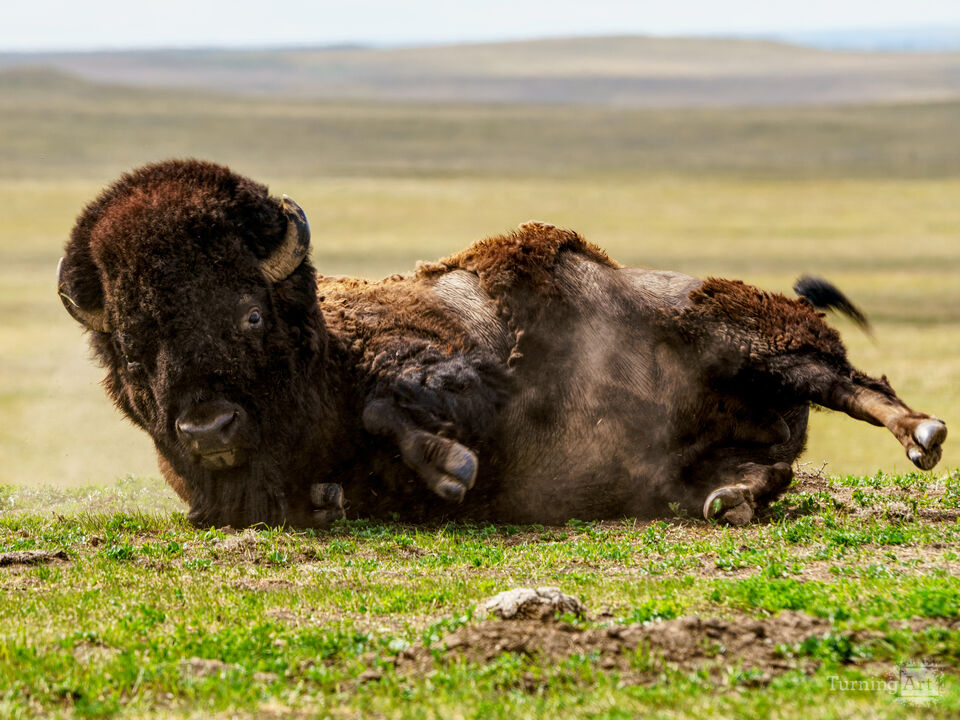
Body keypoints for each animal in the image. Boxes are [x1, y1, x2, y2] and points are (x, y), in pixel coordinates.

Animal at [57, 160, 947, 528]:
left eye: (248, 314)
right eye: (134, 345)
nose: (206, 429)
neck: (322, 350)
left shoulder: (463, 370)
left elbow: (390, 408)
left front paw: (453, 469)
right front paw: (343, 495)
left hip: (758, 341)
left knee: (853, 382)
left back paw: (924, 436)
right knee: (772, 466)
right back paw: (723, 500)